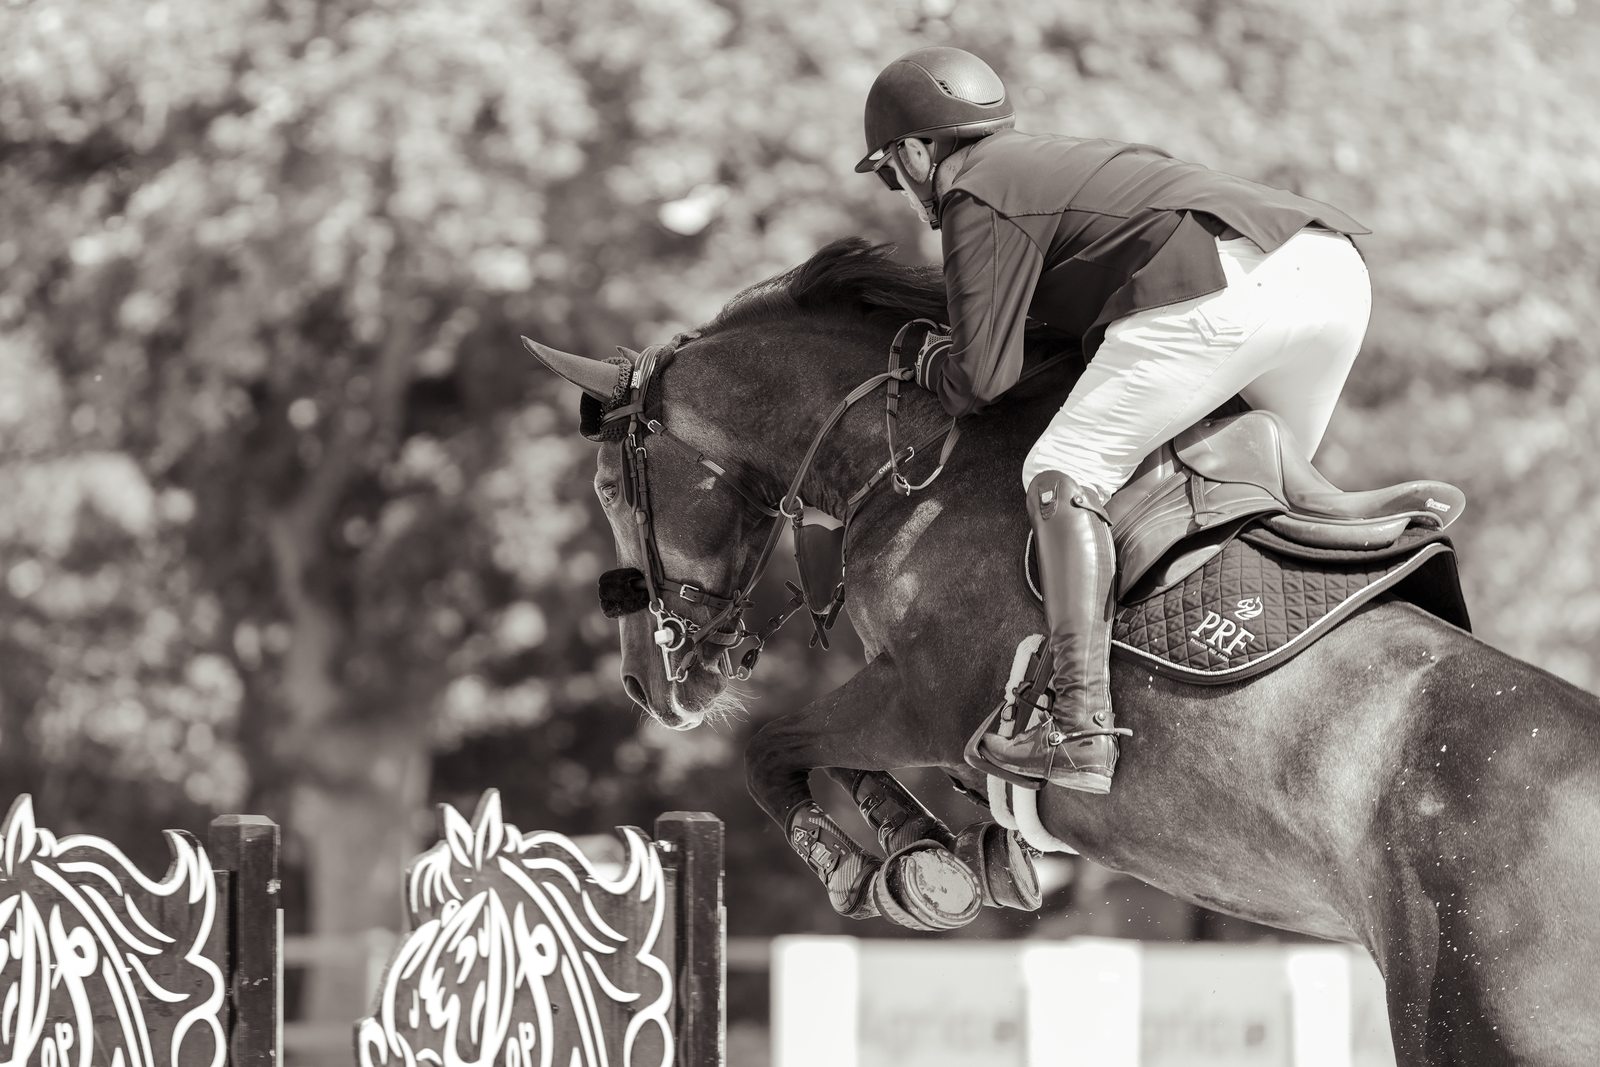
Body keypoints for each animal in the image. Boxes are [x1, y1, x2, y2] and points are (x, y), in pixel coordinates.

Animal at [525, 237, 1600, 1066]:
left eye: (610, 490)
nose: (648, 682)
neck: (915, 458)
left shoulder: (924, 701)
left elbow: (770, 747)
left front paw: (857, 865)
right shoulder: (903, 706)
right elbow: (829, 757)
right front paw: (929, 853)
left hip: (1473, 1023)